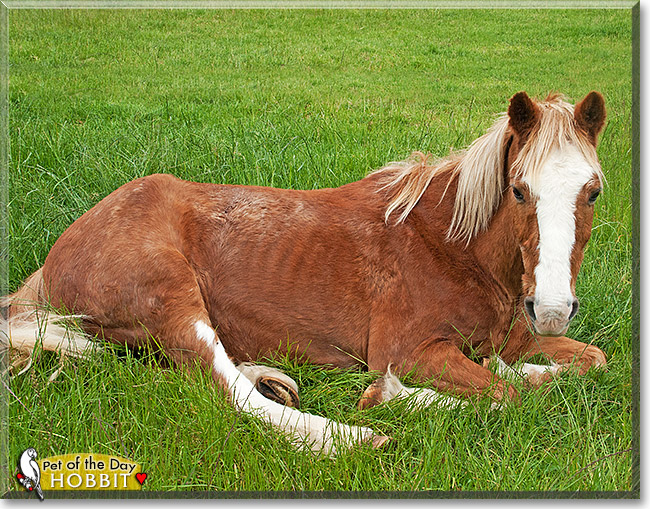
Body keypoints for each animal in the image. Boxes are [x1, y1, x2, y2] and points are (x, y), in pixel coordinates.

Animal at [2, 91, 608, 455]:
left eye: (593, 190)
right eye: (520, 189)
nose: (552, 309)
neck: (451, 247)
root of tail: (54, 260)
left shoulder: (515, 337)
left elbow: (588, 362)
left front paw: (528, 369)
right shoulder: (410, 350)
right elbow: (503, 396)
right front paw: (389, 394)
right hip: (168, 292)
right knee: (230, 391)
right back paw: (356, 435)